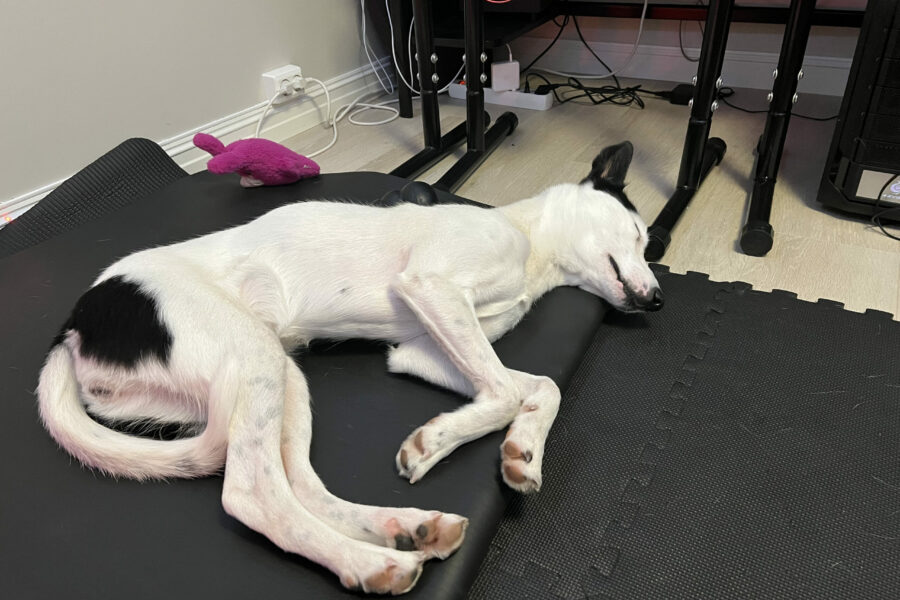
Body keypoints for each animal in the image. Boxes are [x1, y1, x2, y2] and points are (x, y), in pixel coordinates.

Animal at [37, 142, 660, 596]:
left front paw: (521, 451)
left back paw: (402, 530)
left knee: (301, 488)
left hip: (281, 378)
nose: (656, 300)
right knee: (252, 493)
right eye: (637, 235)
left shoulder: (420, 347)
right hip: (253, 355)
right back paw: (369, 562)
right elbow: (506, 391)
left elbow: (536, 386)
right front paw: (438, 442)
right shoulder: (431, 286)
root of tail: (72, 326)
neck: (531, 247)